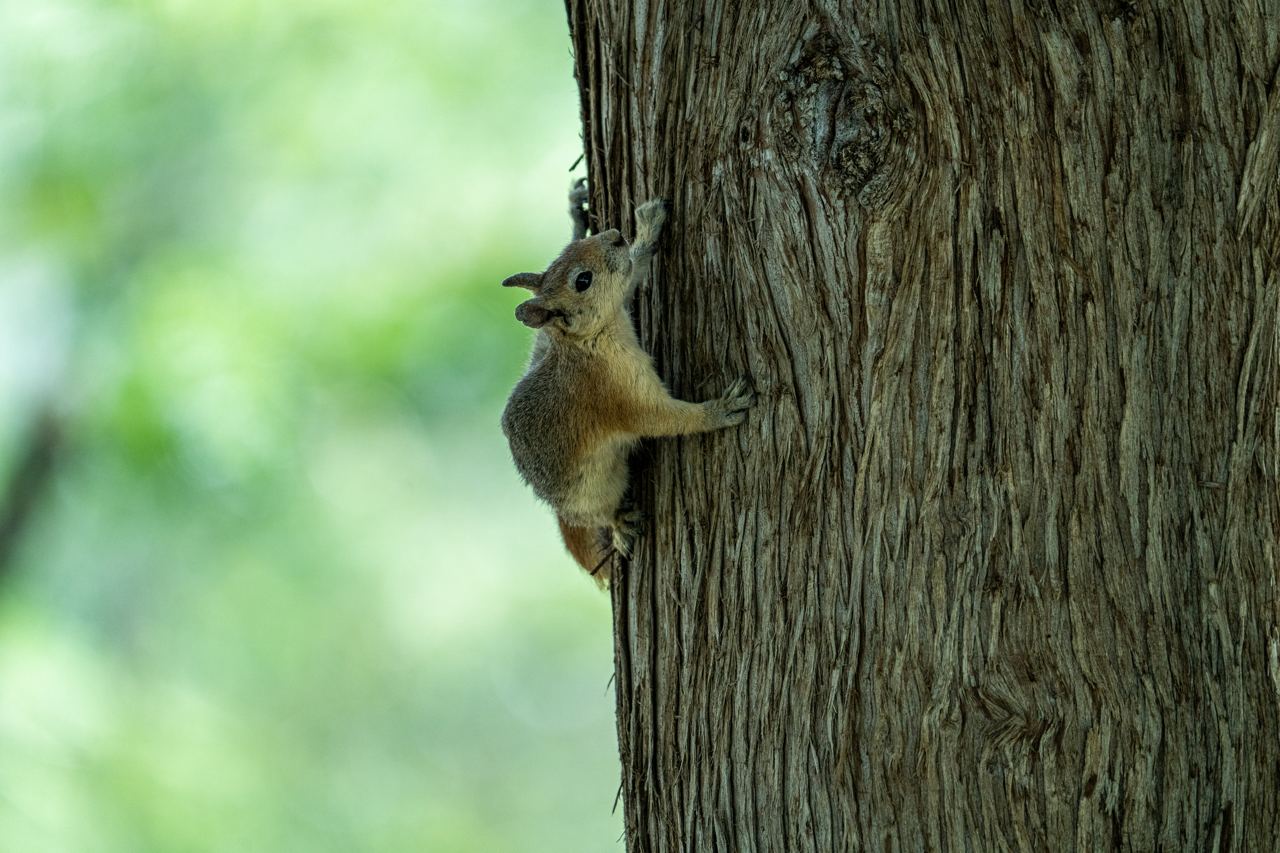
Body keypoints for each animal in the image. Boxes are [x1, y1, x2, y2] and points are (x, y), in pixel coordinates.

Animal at [499, 180, 752, 584]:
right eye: (582, 280)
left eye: (566, 254)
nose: (616, 236)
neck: (589, 340)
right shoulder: (617, 391)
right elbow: (661, 420)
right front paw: (721, 410)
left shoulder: (621, 297)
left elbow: (633, 270)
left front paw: (647, 229)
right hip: (593, 490)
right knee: (599, 512)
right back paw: (619, 523)